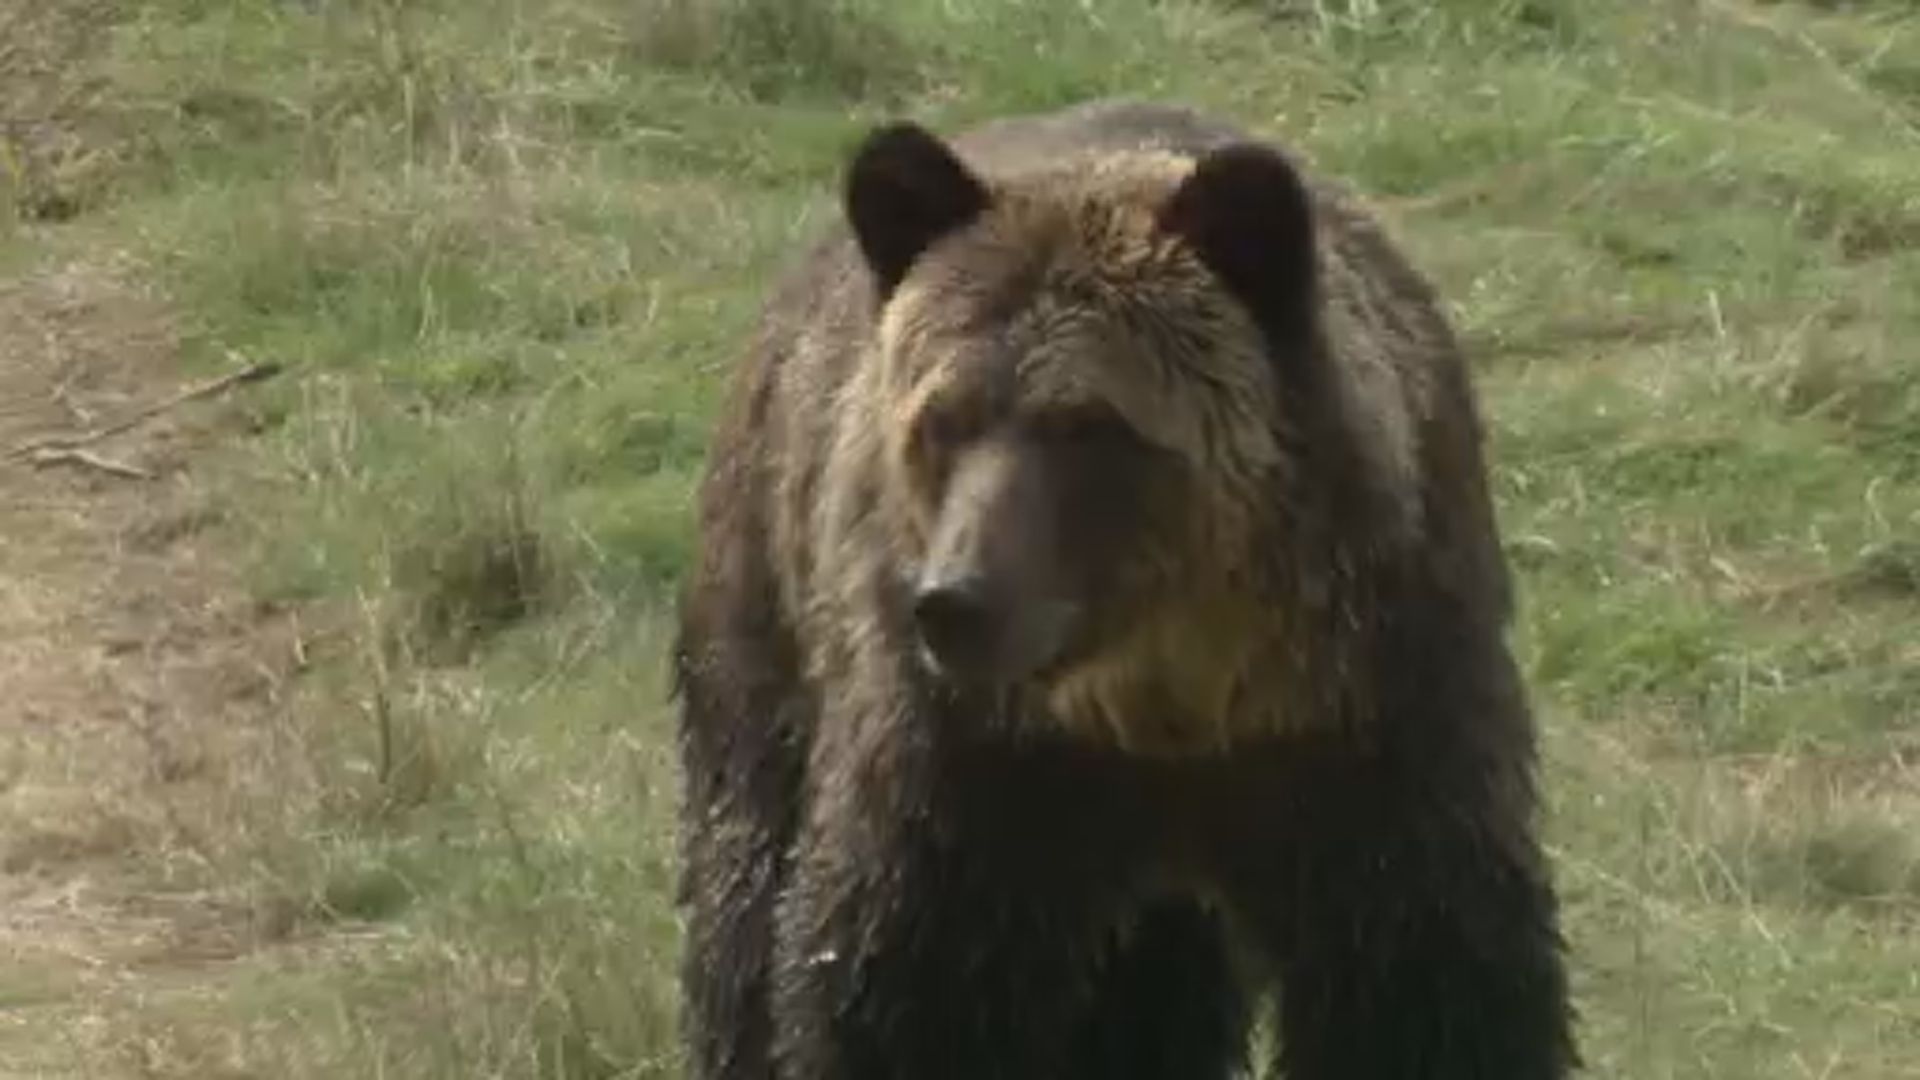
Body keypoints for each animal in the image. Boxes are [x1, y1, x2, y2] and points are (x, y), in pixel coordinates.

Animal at [672, 98, 1577, 1080]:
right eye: (942, 420)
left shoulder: (1373, 716)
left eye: (1088, 423)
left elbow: (1424, 975)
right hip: (768, 613)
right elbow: (900, 983)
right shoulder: (974, 766)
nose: (958, 603)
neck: (1172, 696)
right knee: (747, 881)